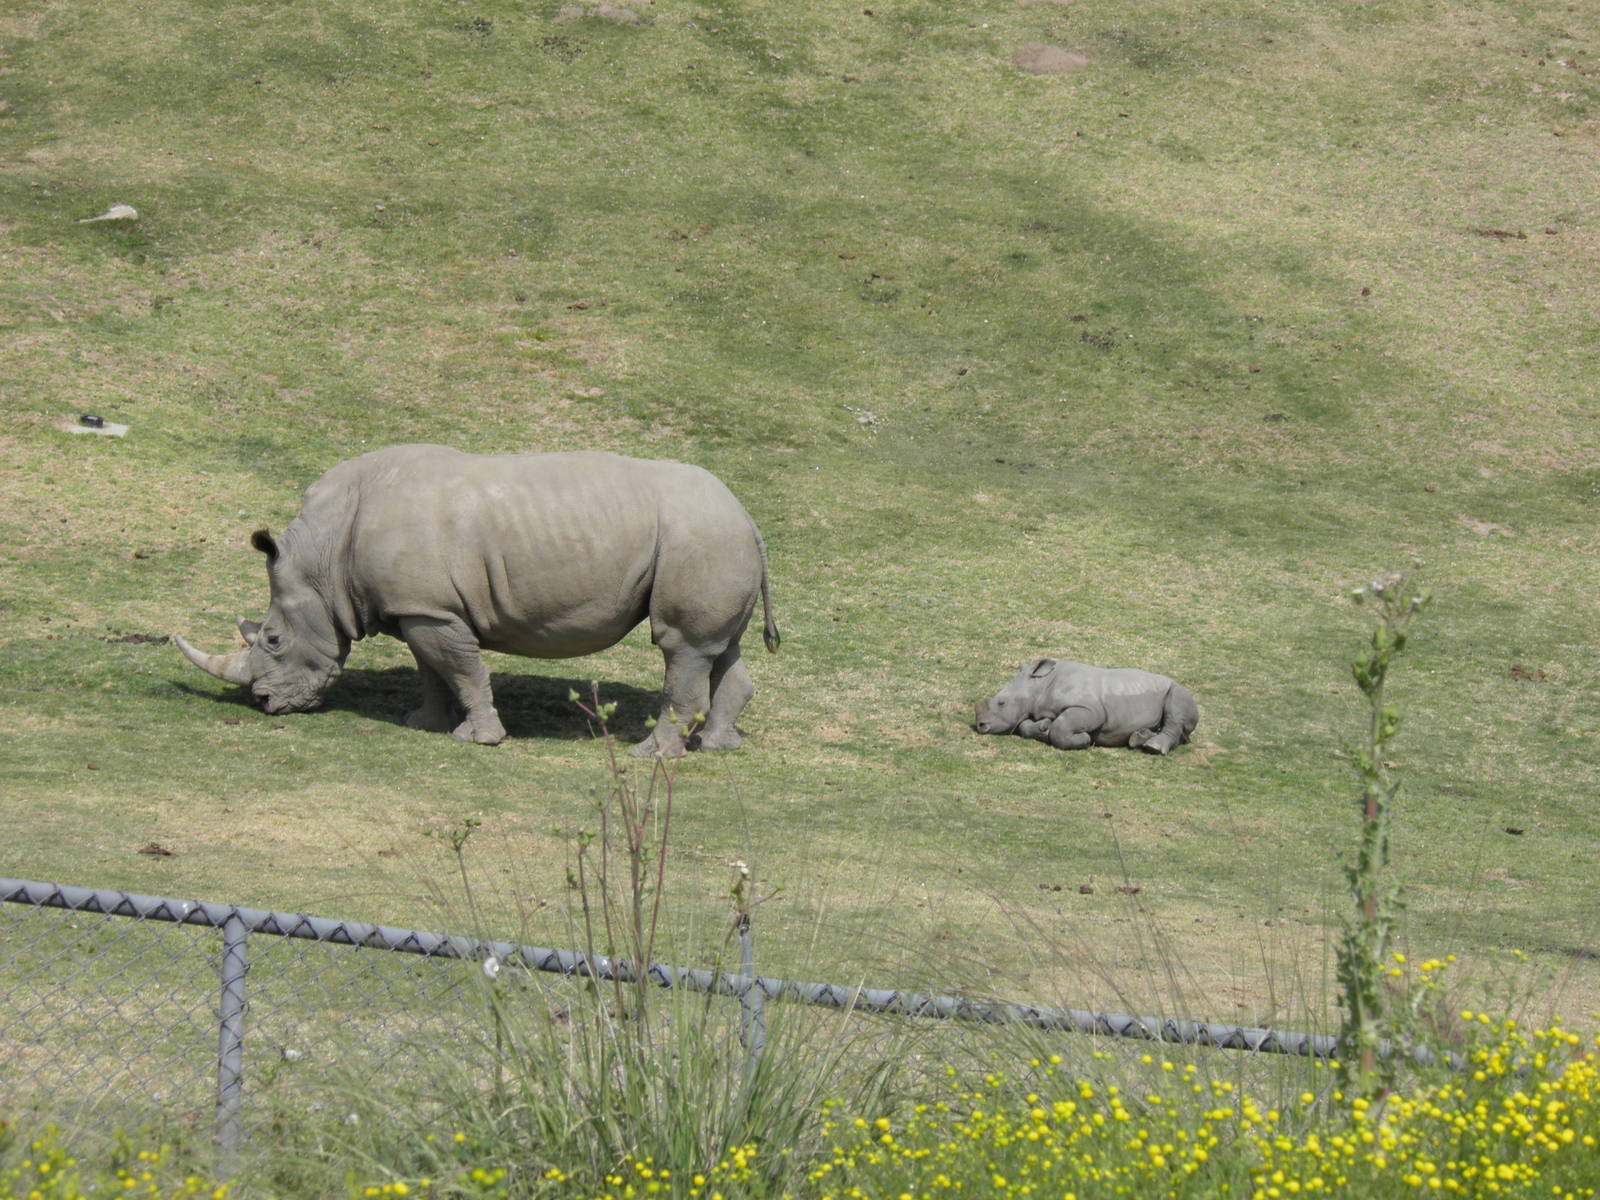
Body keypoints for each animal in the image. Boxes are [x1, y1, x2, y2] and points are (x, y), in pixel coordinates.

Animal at [175, 444, 778, 756]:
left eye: (273, 640)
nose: (264, 703)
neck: (324, 558)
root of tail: (748, 516)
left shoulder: (429, 608)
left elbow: (462, 670)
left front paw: (481, 739)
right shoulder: (420, 606)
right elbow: (432, 670)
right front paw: (424, 723)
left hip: (700, 537)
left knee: (680, 646)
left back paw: (650, 756)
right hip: (714, 540)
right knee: (718, 647)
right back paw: (720, 747)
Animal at [974, 658, 1197, 754]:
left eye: (1002, 703)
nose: (980, 725)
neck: (1040, 684)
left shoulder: (1091, 710)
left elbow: (1061, 728)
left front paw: (1084, 740)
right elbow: (1024, 726)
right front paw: (1043, 727)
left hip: (1178, 690)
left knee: (1176, 707)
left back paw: (1153, 748)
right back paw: (1139, 739)